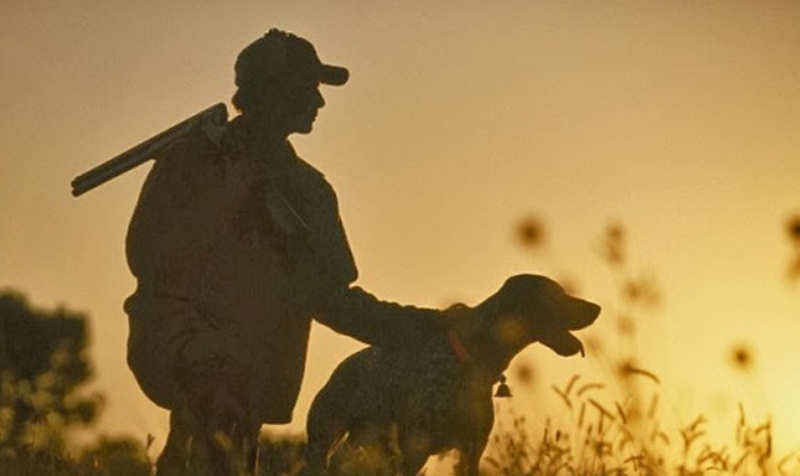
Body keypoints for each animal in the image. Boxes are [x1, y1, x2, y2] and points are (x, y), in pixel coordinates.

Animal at [302, 274, 600, 474]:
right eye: (557, 294)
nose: (596, 307)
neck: (472, 360)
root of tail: (343, 366)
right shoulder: (415, 452)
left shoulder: (472, 450)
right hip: (324, 444)